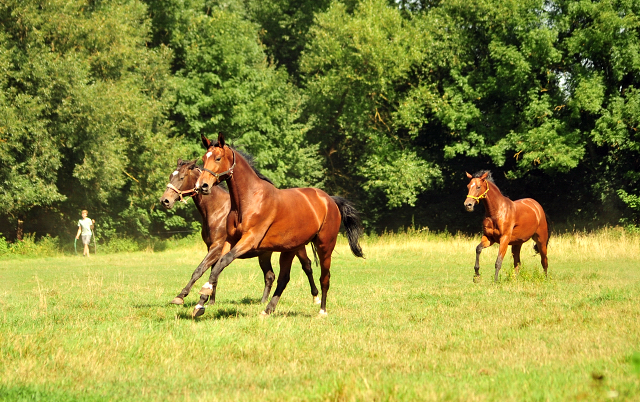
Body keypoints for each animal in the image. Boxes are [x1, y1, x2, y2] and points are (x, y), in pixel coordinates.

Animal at [160, 157, 320, 310]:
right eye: (170, 176)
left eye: (181, 177)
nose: (165, 200)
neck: (217, 211)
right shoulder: (214, 249)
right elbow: (213, 272)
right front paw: (209, 301)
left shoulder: (216, 248)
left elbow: (199, 270)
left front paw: (180, 297)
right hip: (264, 254)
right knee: (270, 276)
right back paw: (262, 301)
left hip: (298, 248)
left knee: (307, 266)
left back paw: (316, 298)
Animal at [195, 133, 362, 318]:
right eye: (203, 158)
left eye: (217, 158)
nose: (201, 186)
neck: (249, 199)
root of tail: (329, 200)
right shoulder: (230, 240)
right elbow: (216, 266)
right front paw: (200, 304)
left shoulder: (249, 240)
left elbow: (222, 262)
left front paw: (204, 293)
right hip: (290, 249)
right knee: (284, 278)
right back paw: (267, 309)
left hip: (325, 247)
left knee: (324, 277)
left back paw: (322, 309)